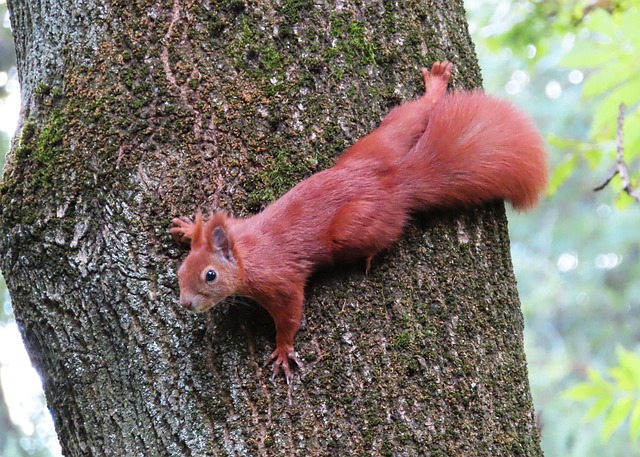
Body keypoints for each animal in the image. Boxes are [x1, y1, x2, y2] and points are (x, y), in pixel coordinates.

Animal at [171, 60, 552, 382]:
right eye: (180, 270)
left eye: (210, 275)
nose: (186, 304)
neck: (246, 251)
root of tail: (396, 183)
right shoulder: (237, 226)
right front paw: (189, 228)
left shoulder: (280, 281)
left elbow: (290, 314)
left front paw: (282, 350)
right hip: (376, 145)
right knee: (409, 118)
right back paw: (435, 86)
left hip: (354, 226)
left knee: (386, 232)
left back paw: (372, 254)